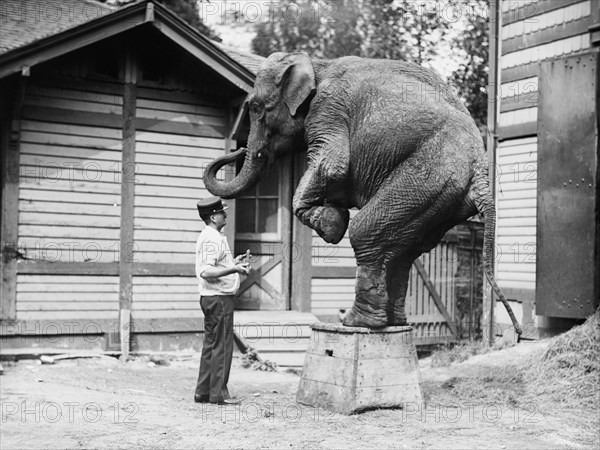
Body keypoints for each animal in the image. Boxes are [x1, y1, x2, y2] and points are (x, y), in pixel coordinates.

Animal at [204, 51, 524, 336]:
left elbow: (333, 164)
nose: (239, 149)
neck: (317, 63)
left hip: (428, 177)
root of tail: (480, 173)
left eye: (257, 108)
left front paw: (332, 225)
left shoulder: (328, 110)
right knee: (405, 250)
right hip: (442, 199)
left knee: (365, 233)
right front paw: (333, 217)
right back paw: (392, 322)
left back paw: (356, 322)